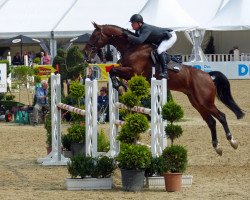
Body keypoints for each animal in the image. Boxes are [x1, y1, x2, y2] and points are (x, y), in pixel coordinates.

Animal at [85, 22, 245, 156]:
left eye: (95, 35)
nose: (86, 54)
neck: (132, 47)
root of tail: (208, 76)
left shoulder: (133, 72)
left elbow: (113, 70)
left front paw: (119, 87)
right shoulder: (128, 71)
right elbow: (113, 71)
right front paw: (121, 87)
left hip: (205, 101)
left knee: (221, 116)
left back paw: (232, 141)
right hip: (197, 102)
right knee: (211, 121)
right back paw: (217, 147)